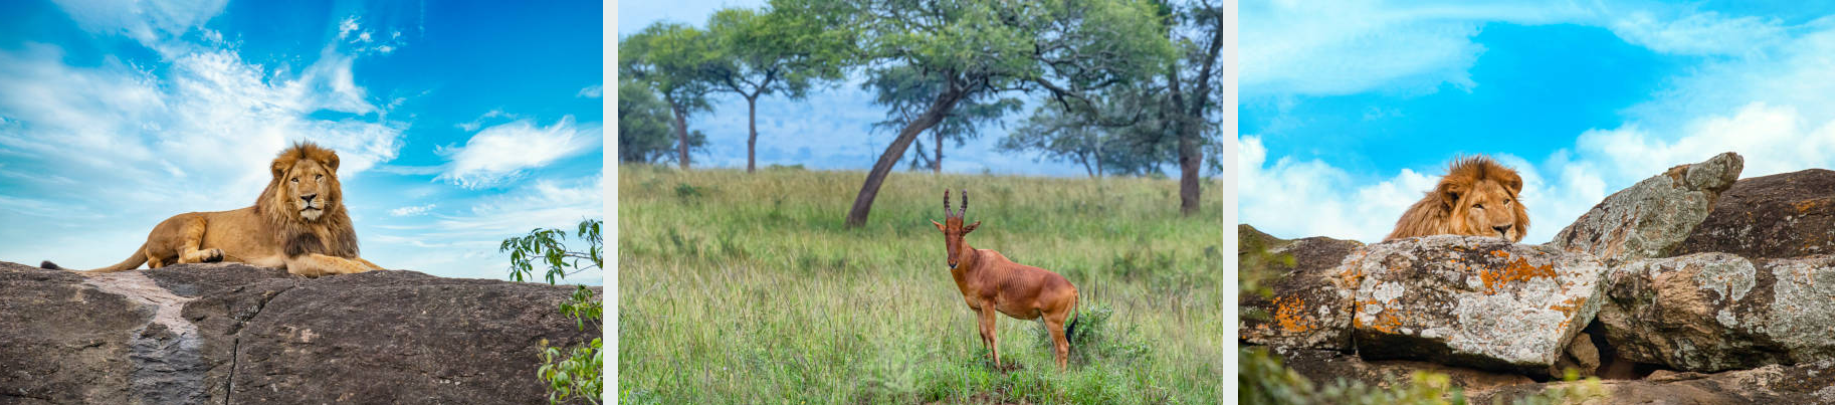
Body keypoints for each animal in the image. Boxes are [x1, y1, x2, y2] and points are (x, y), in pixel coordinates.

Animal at [42, 141, 386, 277]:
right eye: (295, 180)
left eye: (318, 177)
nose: (309, 197)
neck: (321, 222)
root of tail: (148, 233)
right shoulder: (297, 259)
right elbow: (344, 264)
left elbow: (365, 262)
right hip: (193, 219)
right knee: (171, 259)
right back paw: (211, 255)